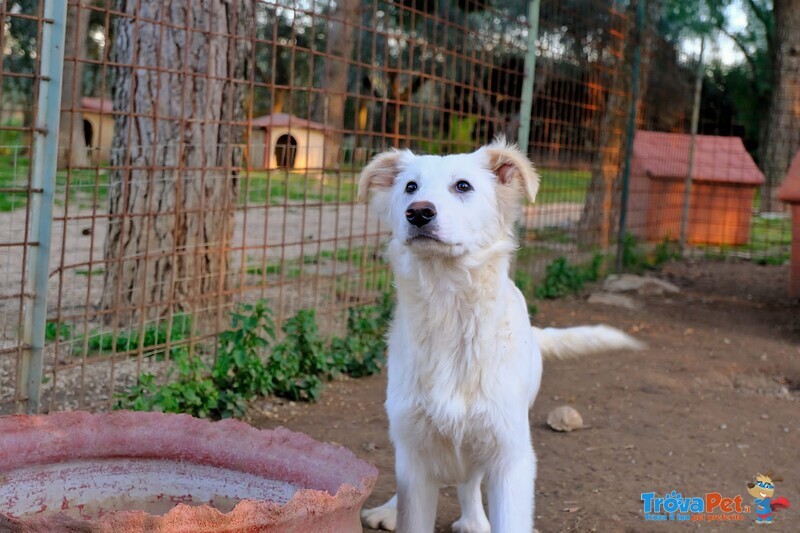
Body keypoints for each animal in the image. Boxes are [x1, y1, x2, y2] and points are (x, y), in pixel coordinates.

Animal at [360, 139, 648, 528]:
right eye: (410, 187)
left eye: (463, 186)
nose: (418, 213)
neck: (449, 309)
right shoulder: (415, 455)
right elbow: (413, 508)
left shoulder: (511, 456)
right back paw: (391, 510)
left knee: (469, 481)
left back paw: (474, 523)